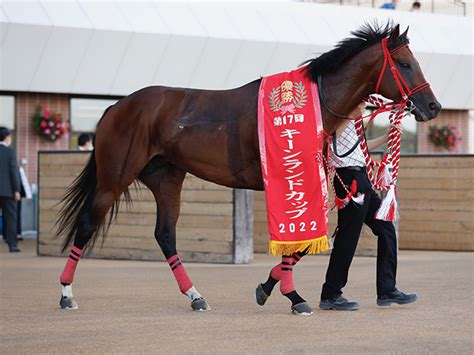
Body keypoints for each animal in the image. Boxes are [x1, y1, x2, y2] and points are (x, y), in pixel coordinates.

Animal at [55, 23, 440, 314]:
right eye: (405, 63)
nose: (432, 106)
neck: (312, 106)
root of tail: (116, 107)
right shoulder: (286, 182)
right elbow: (298, 241)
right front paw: (292, 295)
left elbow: (303, 242)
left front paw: (271, 287)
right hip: (115, 176)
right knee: (87, 224)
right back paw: (66, 294)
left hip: (166, 177)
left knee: (165, 235)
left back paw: (196, 296)